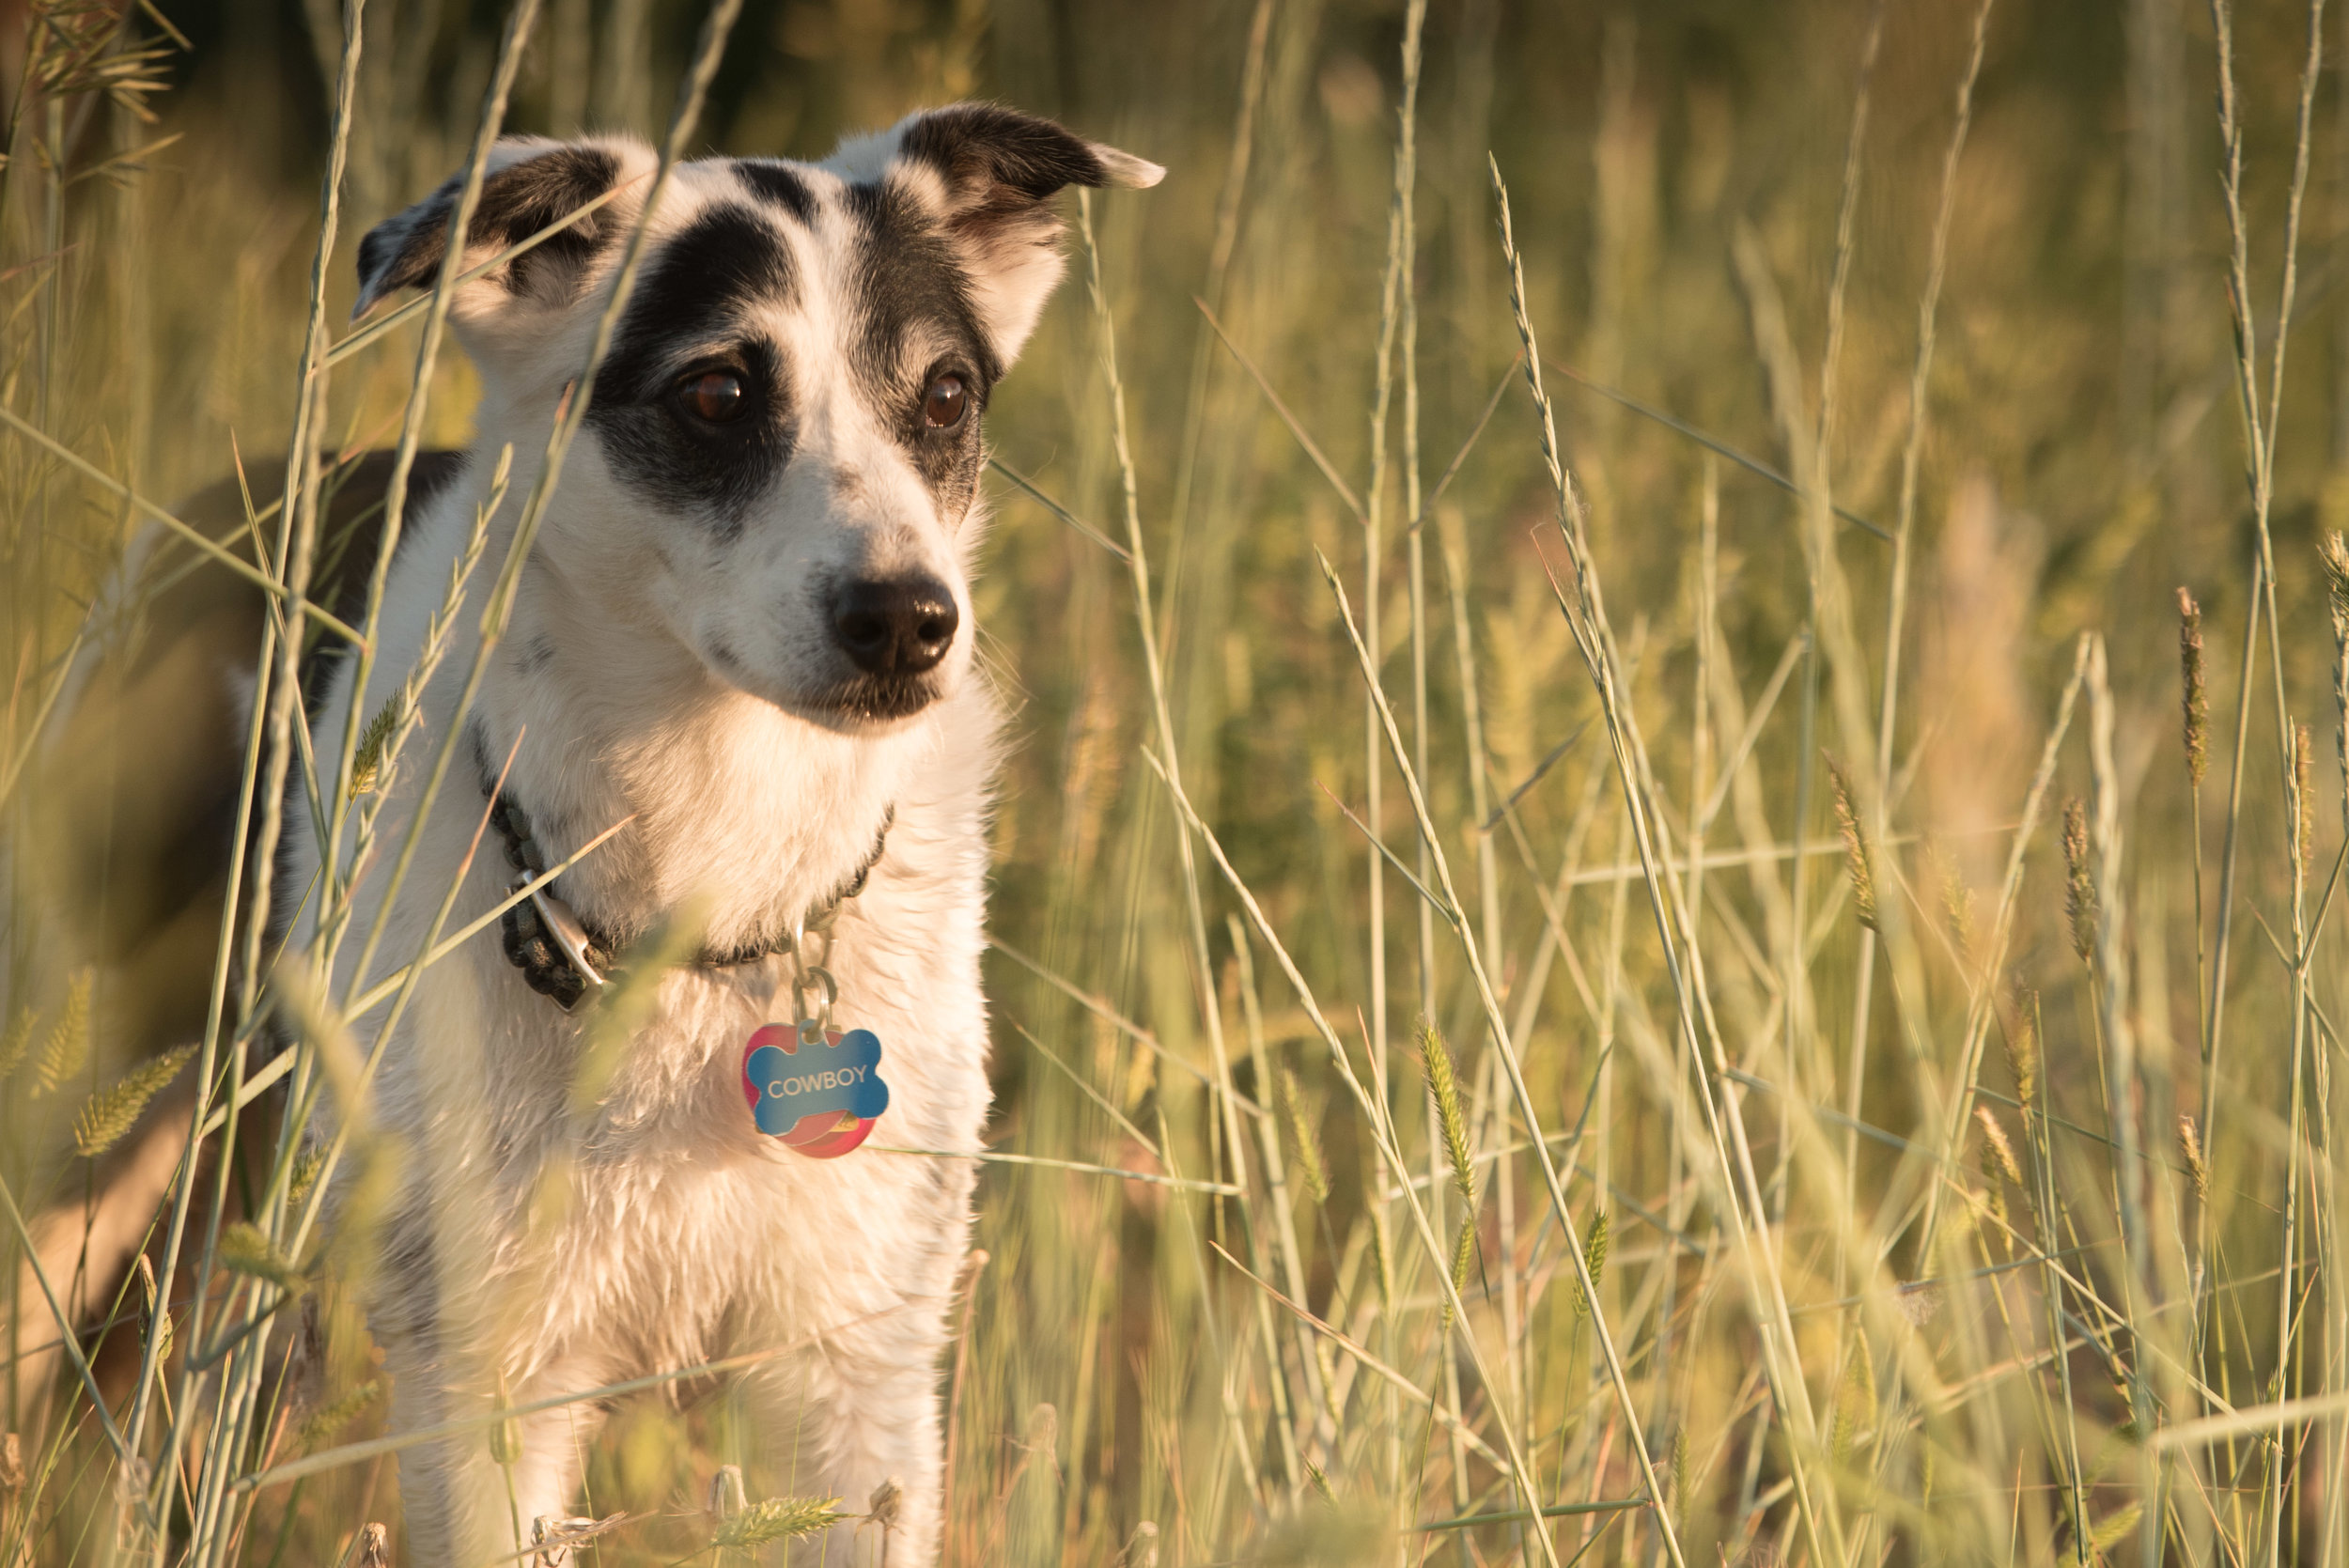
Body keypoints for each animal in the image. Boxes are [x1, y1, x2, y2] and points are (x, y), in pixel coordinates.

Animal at [7, 103, 1156, 1559]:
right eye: (716, 394)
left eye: (948, 395)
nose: (908, 619)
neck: (706, 901)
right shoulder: (490, 1379)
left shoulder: (858, 1375)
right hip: (92, 1108)